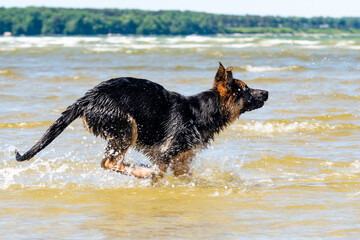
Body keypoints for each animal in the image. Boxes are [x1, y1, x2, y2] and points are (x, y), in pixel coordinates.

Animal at [14, 62, 268, 179]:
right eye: (246, 90)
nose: (266, 93)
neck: (201, 112)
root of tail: (86, 99)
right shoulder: (165, 155)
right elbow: (160, 173)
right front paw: (152, 177)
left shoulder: (182, 161)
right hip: (126, 126)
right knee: (109, 162)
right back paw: (142, 171)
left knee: (112, 162)